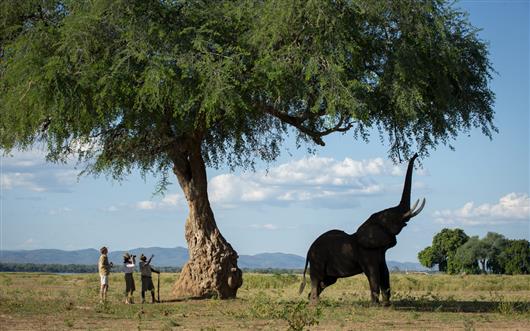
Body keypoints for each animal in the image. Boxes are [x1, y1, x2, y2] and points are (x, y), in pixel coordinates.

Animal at [300, 154, 422, 306]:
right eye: (390, 215)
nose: (415, 155)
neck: (368, 223)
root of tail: (308, 250)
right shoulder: (366, 252)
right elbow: (374, 274)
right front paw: (375, 306)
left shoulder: (380, 252)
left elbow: (385, 273)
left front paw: (387, 306)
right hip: (317, 259)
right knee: (317, 279)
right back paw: (314, 304)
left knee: (326, 281)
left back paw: (312, 300)